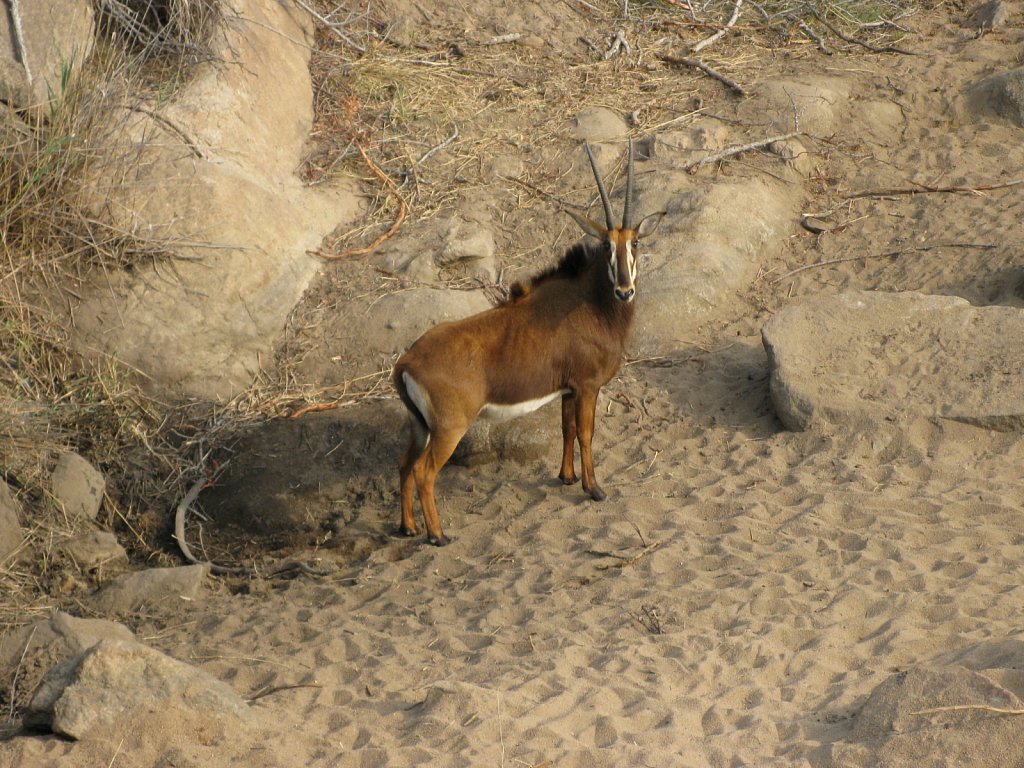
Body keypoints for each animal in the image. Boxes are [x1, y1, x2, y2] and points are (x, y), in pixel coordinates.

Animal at [389, 140, 663, 548]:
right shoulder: (587, 386)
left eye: (635, 245)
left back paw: (407, 527)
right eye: (606, 247)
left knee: (405, 465)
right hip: (448, 429)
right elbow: (586, 434)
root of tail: (406, 362)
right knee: (424, 472)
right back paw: (437, 535)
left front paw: (566, 477)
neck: (590, 302)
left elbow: (567, 429)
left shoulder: (568, 389)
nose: (624, 291)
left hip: (419, 426)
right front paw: (594, 489)